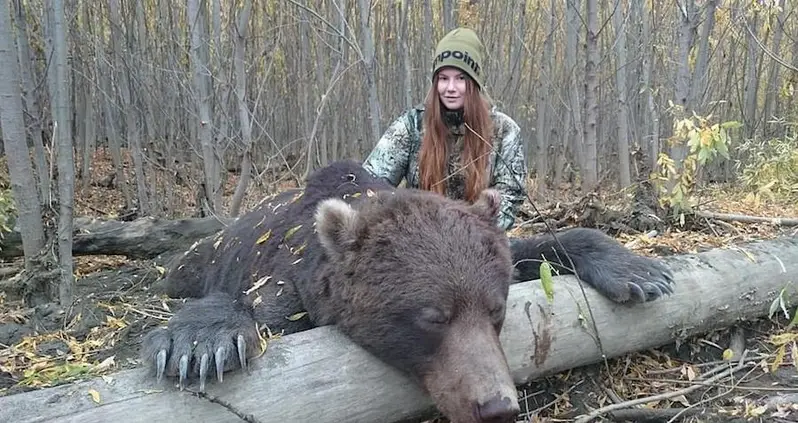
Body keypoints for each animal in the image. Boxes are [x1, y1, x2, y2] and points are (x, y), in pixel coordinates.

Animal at [141, 160, 674, 423]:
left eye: (495, 310)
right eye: (432, 316)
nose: (497, 407)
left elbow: (537, 246)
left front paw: (642, 270)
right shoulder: (291, 277)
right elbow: (254, 304)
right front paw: (198, 343)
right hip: (201, 256)